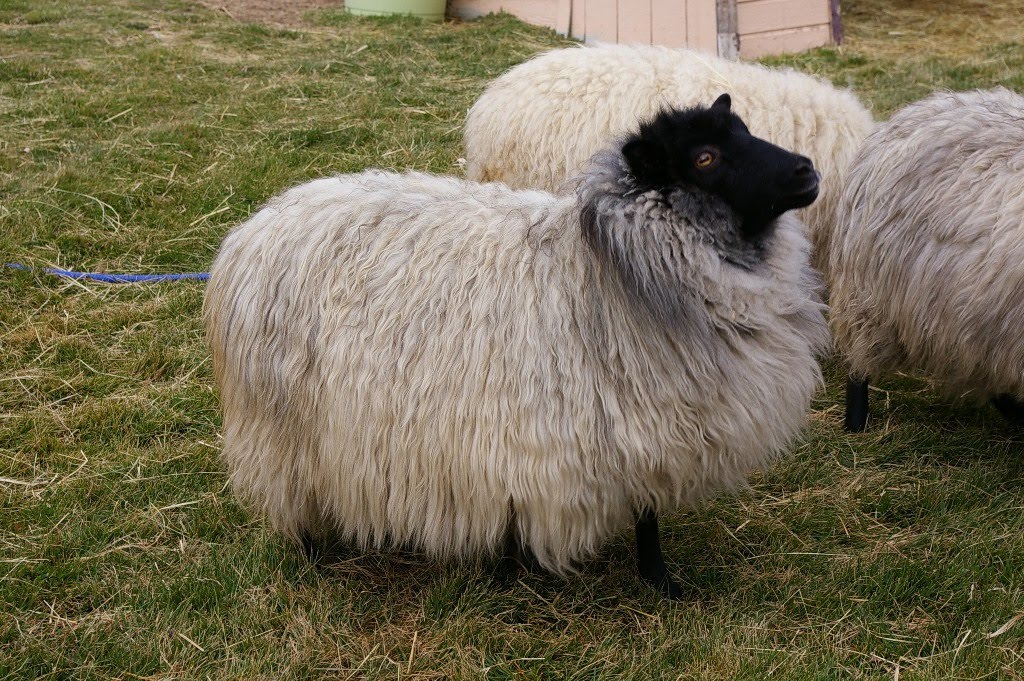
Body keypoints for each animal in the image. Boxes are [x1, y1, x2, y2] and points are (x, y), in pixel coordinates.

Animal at [203, 94, 827, 593]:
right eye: (705, 158)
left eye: (744, 130)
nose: (807, 170)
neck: (610, 264)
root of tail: (253, 229)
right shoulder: (609, 425)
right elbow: (635, 517)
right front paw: (652, 584)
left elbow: (644, 515)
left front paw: (655, 583)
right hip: (286, 427)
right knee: (294, 494)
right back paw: (313, 559)